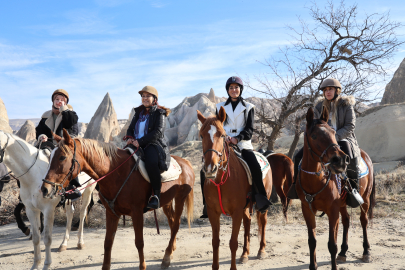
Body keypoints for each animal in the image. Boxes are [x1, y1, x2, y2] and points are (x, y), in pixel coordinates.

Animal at [0, 131, 95, 270]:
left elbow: (47, 239)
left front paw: (46, 264)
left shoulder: (48, 210)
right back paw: (63, 244)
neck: (32, 175)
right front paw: (35, 264)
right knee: (70, 214)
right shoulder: (31, 210)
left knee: (82, 214)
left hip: (88, 191)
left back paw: (80, 242)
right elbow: (36, 238)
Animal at [41, 129, 194, 270]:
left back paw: (167, 258)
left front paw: (143, 266)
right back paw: (170, 252)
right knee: (172, 222)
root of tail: (186, 162)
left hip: (180, 198)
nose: (45, 189)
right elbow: (108, 242)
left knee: (176, 225)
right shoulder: (111, 213)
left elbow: (139, 242)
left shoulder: (137, 213)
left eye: (62, 157)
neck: (116, 173)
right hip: (166, 202)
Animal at [196, 107, 272, 270]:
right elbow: (215, 242)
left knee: (263, 222)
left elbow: (232, 242)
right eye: (201, 135)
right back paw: (245, 255)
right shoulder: (213, 212)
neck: (220, 181)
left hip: (263, 203)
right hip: (245, 207)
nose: (210, 169)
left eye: (222, 135)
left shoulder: (236, 212)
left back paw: (261, 251)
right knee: (248, 222)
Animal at [290, 107, 376, 270]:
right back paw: (343, 253)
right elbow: (312, 241)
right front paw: (313, 266)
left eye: (333, 132)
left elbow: (332, 245)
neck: (316, 180)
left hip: (365, 199)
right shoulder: (307, 210)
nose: (340, 160)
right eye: (314, 136)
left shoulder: (332, 211)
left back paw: (366, 251)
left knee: (364, 221)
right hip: (342, 204)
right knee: (347, 221)